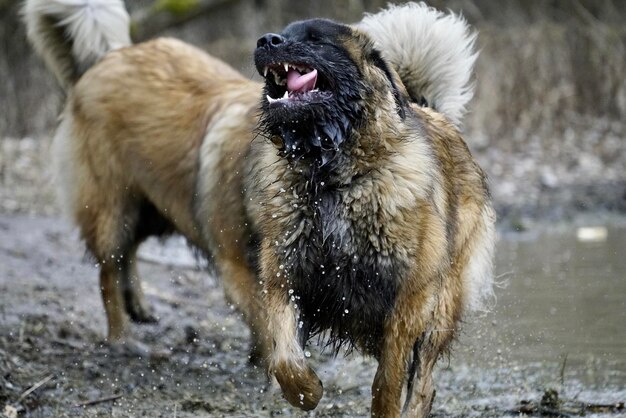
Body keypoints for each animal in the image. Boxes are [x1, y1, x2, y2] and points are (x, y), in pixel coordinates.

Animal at [23, 1, 492, 416]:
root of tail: (109, 56)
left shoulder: (408, 298)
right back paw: (123, 335)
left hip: (443, 305)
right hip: (116, 208)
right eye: (283, 32)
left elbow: (389, 379)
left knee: (424, 379)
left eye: (316, 39)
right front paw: (301, 389)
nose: (267, 40)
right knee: (110, 267)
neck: (328, 176)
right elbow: (281, 345)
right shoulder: (276, 272)